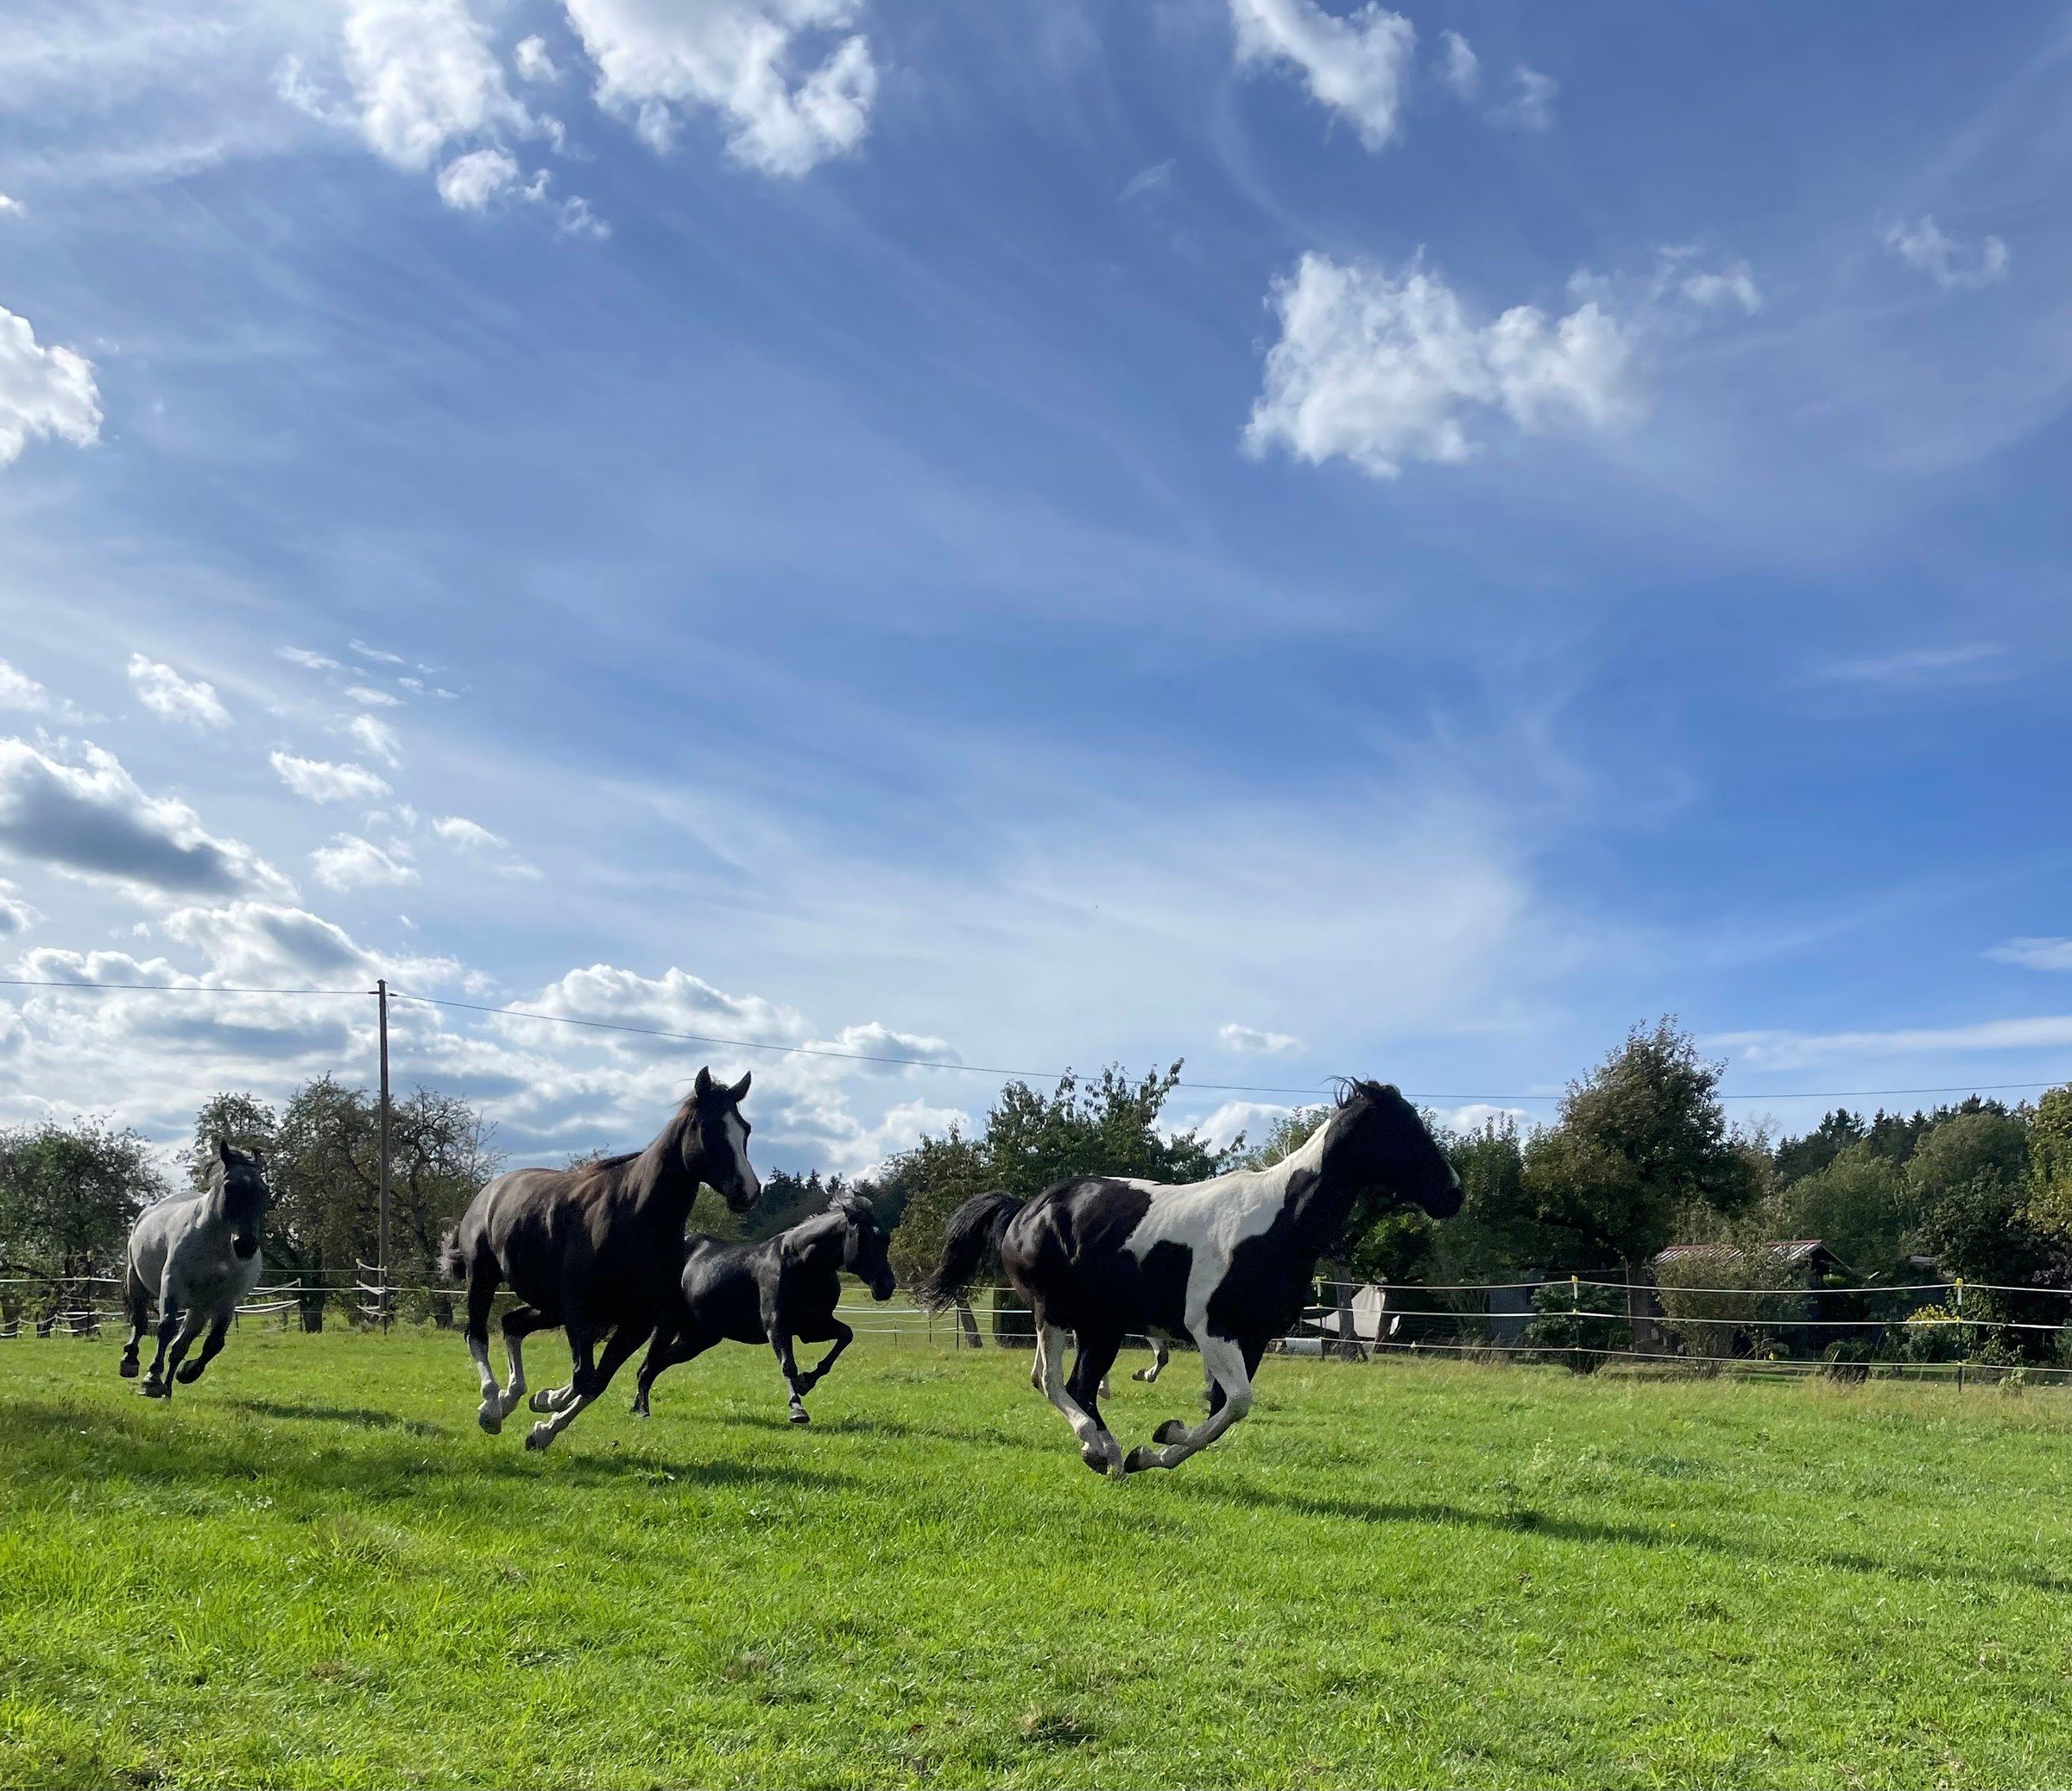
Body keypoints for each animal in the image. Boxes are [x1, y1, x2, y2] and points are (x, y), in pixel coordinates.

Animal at [120, 1141, 271, 1399]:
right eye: (230, 1187)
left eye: (262, 1190)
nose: (246, 1245)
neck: (218, 1249)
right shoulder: (172, 1285)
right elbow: (166, 1327)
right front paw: (151, 1380)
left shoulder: (226, 1301)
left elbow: (214, 1343)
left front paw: (187, 1372)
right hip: (136, 1279)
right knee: (139, 1321)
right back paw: (131, 1362)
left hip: (199, 1309)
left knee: (180, 1346)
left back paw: (169, 1390)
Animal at [439, 1067, 761, 1451]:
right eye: (710, 1127)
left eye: (745, 1128)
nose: (748, 1191)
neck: (634, 1218)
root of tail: (490, 1190)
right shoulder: (581, 1312)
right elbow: (584, 1378)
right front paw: (547, 1405)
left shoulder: (637, 1322)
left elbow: (596, 1382)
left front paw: (543, 1421)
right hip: (484, 1278)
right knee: (476, 1335)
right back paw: (491, 1408)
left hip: (550, 1306)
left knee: (512, 1324)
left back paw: (511, 1398)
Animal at [580, 1189, 898, 1424]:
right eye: (866, 1238)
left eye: (885, 1238)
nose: (887, 1286)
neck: (802, 1263)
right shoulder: (777, 1325)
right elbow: (787, 1364)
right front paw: (797, 1409)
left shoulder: (813, 1326)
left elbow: (845, 1336)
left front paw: (807, 1381)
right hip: (667, 1326)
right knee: (648, 1366)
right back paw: (643, 1410)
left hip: (699, 1338)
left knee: (654, 1365)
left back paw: (637, 1408)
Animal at [916, 1080, 1461, 1477]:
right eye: (1404, 1130)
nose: (1453, 1194)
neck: (1278, 1224)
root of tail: (1025, 1210)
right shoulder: (1213, 1330)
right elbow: (1237, 1403)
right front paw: (1159, 1443)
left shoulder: (1253, 1338)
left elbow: (1223, 1408)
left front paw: (1156, 1446)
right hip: (1055, 1313)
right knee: (1052, 1382)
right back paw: (1099, 1448)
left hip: (1101, 1327)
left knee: (1080, 1386)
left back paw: (1110, 1455)